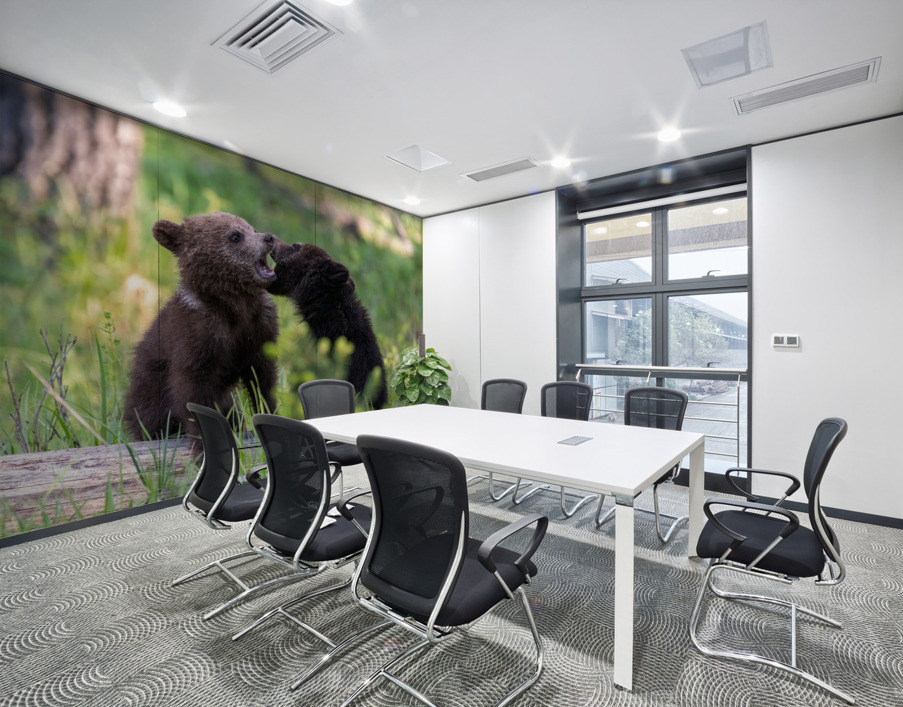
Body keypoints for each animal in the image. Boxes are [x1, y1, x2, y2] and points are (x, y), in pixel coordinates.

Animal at [123, 212, 279, 442]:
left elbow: (263, 380)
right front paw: (201, 439)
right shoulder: (197, 334)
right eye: (235, 235)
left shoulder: (258, 327)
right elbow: (191, 389)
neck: (234, 304)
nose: (269, 237)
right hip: (149, 391)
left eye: (251, 228)